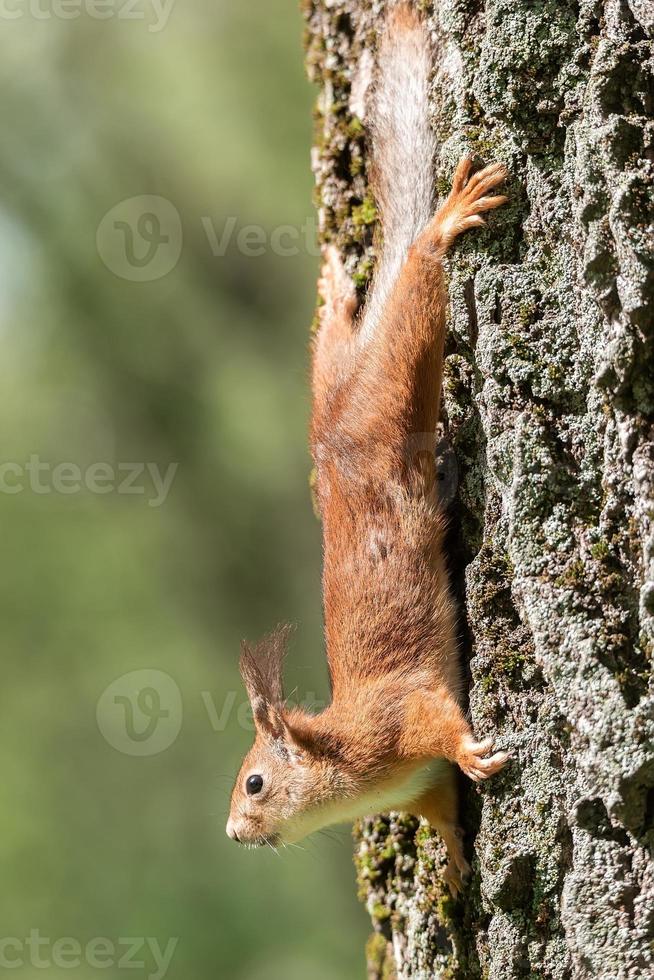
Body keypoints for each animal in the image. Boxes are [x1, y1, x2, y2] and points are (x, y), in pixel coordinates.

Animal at [228, 1, 510, 896]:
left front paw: (476, 753)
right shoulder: (416, 789)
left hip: (393, 384)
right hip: (338, 381)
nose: (233, 832)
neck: (352, 767)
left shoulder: (402, 716)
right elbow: (442, 811)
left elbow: (443, 724)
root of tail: (339, 439)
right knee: (337, 339)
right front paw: (454, 860)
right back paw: (332, 286)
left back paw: (443, 225)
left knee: (417, 284)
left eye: (254, 781)